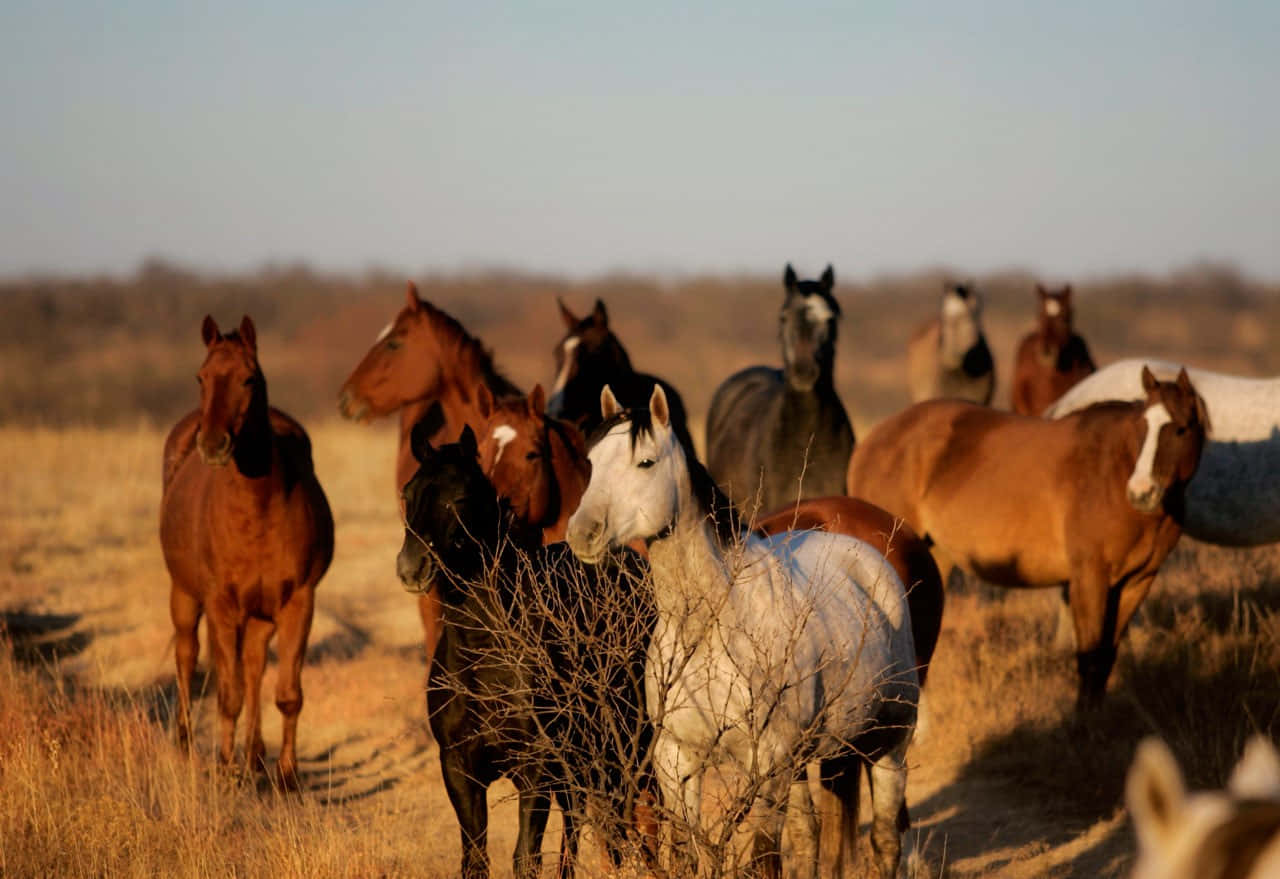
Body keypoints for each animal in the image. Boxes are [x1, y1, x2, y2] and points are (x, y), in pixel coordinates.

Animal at [160, 315, 334, 789]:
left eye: (248, 378)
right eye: (200, 377)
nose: (213, 444)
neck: (258, 510)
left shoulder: (298, 602)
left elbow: (286, 693)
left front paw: (287, 776)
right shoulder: (221, 603)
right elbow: (228, 694)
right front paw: (224, 770)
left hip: (259, 614)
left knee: (254, 664)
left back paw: (255, 757)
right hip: (185, 594)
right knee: (187, 655)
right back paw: (186, 743)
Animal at [396, 426, 652, 879]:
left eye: (460, 496)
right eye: (408, 493)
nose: (412, 568)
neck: (485, 658)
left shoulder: (535, 772)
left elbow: (525, 858)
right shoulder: (459, 770)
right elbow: (475, 859)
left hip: (629, 745)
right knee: (578, 827)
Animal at [568, 384, 918, 879]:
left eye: (646, 462)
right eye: (592, 461)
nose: (583, 534)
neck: (710, 627)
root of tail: (870, 561)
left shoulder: (766, 765)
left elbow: (763, 858)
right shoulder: (677, 761)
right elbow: (690, 853)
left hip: (889, 745)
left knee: (885, 840)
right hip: (811, 760)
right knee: (810, 834)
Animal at [847, 366, 1209, 709]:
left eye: (1181, 429)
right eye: (1141, 428)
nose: (1141, 493)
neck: (1113, 472)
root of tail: (874, 439)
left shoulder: (1137, 581)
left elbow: (1106, 657)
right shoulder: (1089, 578)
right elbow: (1090, 657)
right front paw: (1082, 723)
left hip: (935, 559)